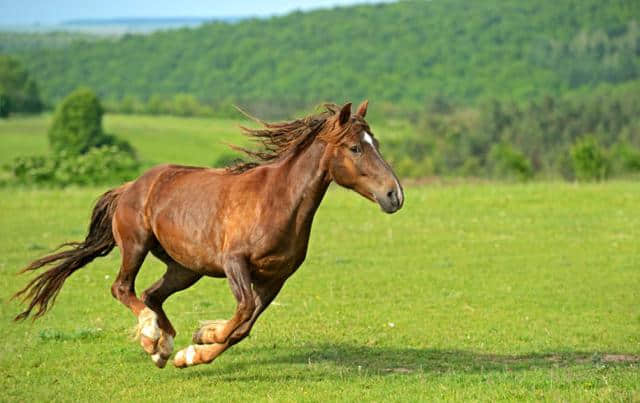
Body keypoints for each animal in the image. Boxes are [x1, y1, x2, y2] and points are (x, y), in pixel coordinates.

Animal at [13, 101, 404, 370]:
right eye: (355, 148)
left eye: (375, 142)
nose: (394, 195)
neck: (277, 200)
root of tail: (130, 186)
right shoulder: (235, 263)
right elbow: (242, 312)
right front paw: (202, 339)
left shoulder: (276, 278)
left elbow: (244, 326)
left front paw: (193, 349)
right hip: (136, 246)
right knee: (123, 288)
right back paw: (151, 336)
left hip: (186, 268)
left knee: (152, 294)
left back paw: (163, 348)